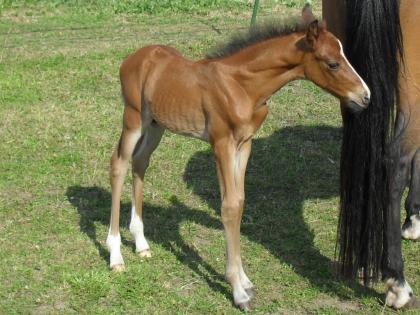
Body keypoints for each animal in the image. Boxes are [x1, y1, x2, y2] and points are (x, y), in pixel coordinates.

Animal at [106, 6, 370, 312]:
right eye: (332, 64)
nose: (366, 96)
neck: (242, 87)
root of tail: (132, 58)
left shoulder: (245, 144)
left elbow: (240, 202)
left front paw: (245, 281)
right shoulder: (222, 143)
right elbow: (229, 206)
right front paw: (238, 291)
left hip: (156, 125)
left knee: (140, 163)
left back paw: (141, 242)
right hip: (133, 118)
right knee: (118, 164)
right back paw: (115, 254)